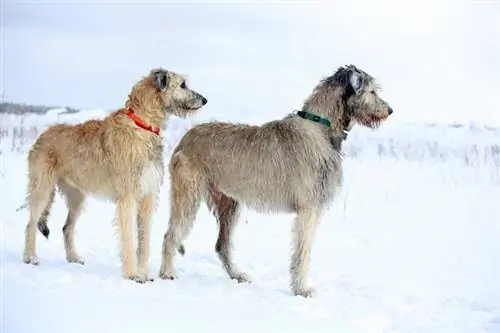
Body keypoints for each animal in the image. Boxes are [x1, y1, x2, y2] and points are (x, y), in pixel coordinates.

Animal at [22, 68, 207, 282]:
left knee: (67, 227)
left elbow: (144, 239)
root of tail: (43, 134)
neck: (142, 125)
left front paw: (144, 272)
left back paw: (73, 257)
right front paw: (133, 274)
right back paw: (30, 257)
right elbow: (128, 238)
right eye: (183, 84)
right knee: (31, 222)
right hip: (42, 188)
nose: (205, 100)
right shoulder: (127, 198)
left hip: (77, 196)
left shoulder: (148, 196)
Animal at [158, 65, 392, 296]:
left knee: (221, 245)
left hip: (228, 203)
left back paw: (237, 275)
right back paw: (167, 273)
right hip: (188, 195)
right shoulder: (308, 209)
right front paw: (301, 288)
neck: (319, 127)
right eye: (372, 91)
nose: (390, 110)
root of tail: (184, 139)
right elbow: (302, 250)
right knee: (170, 235)